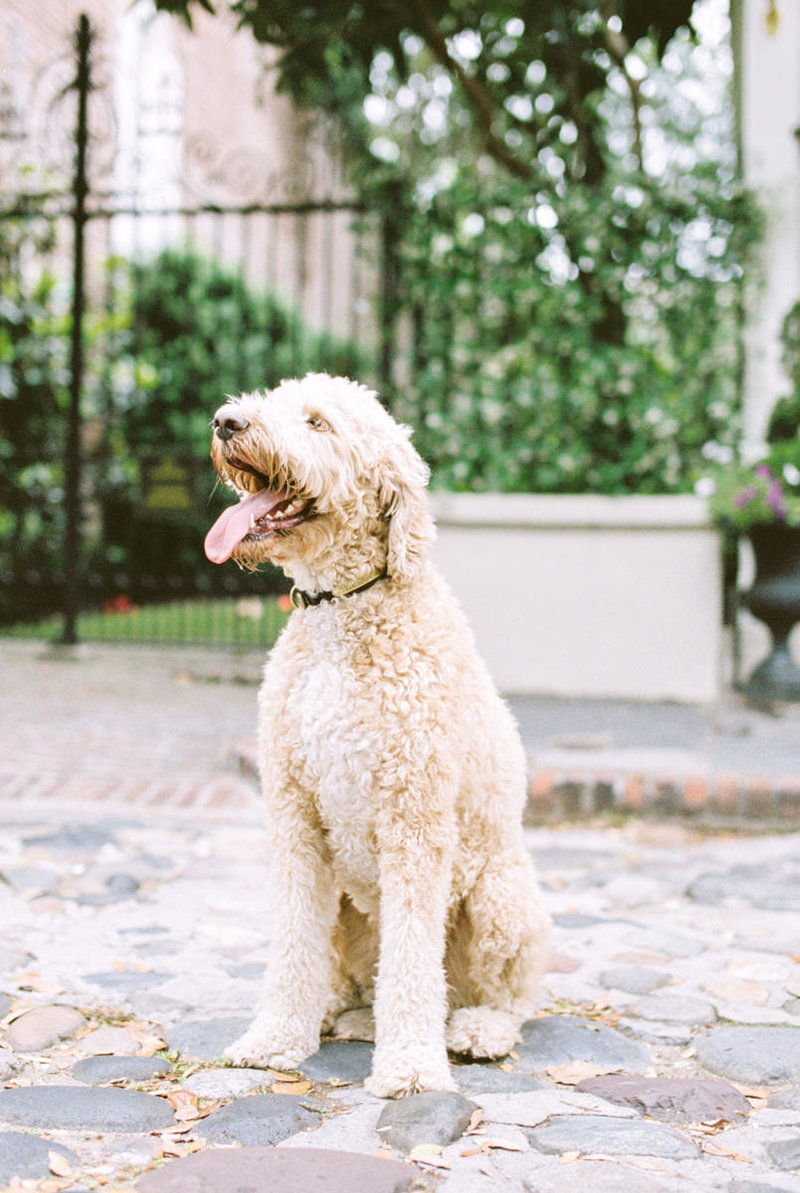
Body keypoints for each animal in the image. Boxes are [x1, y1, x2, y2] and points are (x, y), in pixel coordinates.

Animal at [203, 374, 548, 1097]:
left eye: (318, 422)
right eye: (270, 400)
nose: (226, 421)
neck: (342, 609)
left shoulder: (414, 819)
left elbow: (413, 959)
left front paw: (412, 1064)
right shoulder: (294, 817)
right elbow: (293, 942)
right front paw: (276, 1036)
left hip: (503, 895)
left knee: (510, 997)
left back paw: (476, 1028)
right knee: (350, 972)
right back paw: (339, 1008)